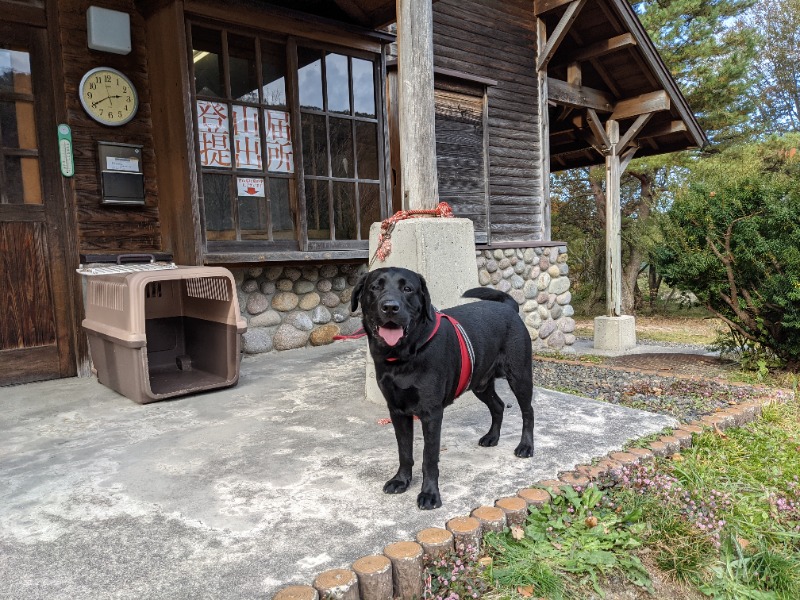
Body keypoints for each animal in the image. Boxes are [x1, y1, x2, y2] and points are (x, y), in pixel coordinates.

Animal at [352, 268, 536, 510]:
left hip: (520, 377)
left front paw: (429, 494)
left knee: (528, 411)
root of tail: (509, 307)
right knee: (498, 405)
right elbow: (404, 451)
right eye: (375, 287)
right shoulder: (397, 411)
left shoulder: (431, 414)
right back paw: (492, 437)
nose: (390, 307)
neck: (403, 356)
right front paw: (401, 480)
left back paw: (526, 446)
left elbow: (429, 458)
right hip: (480, 384)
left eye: (407, 288)